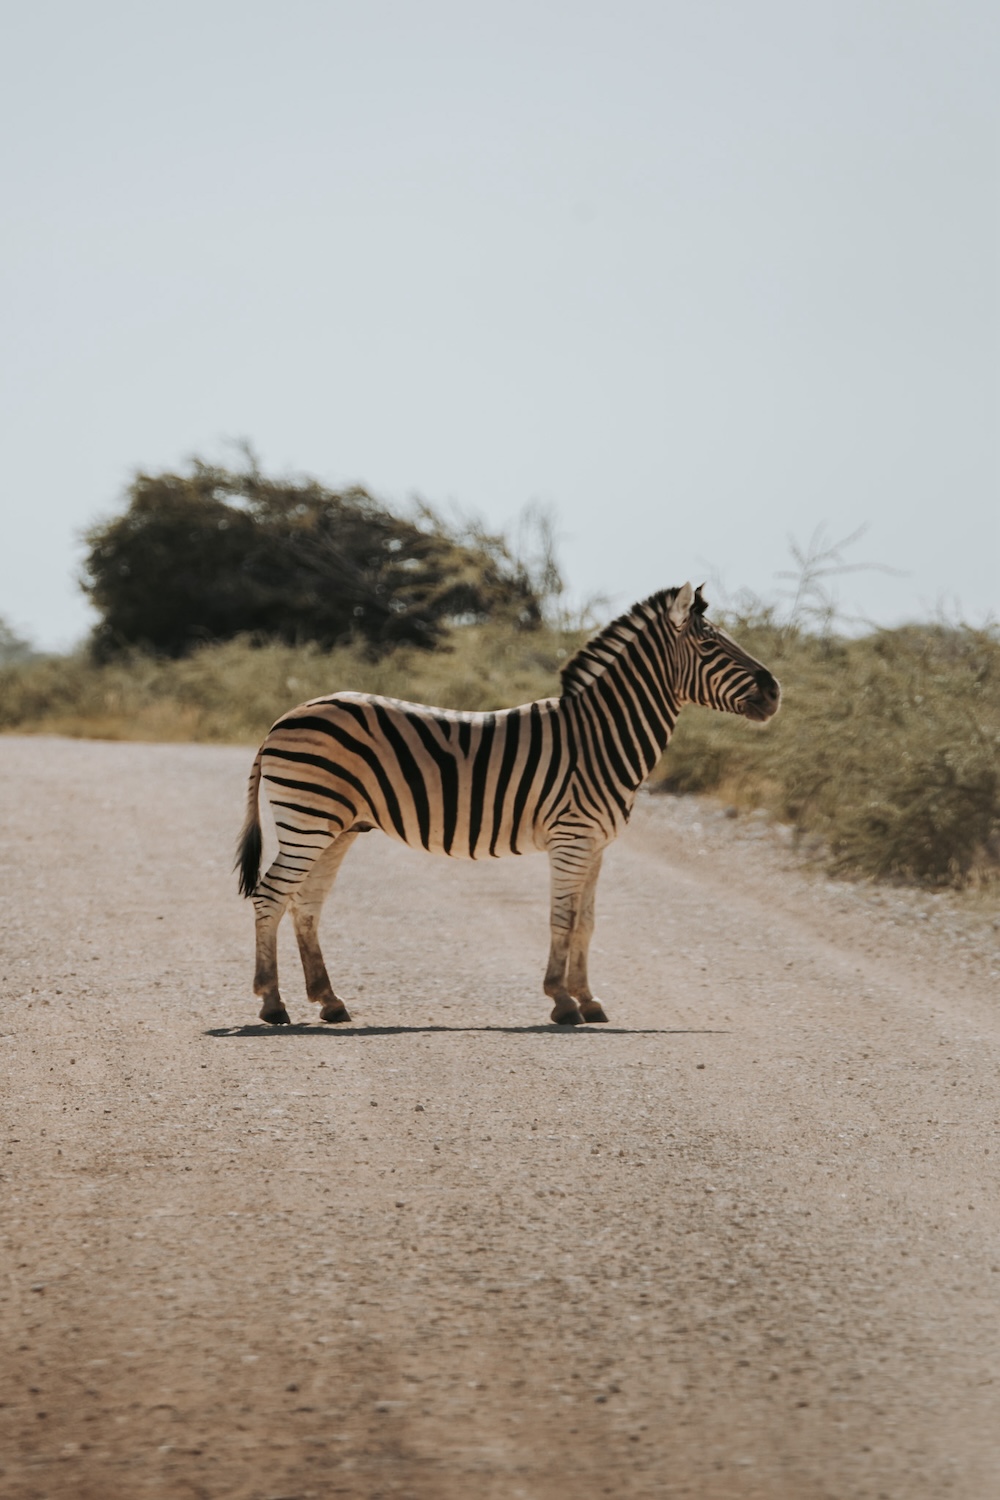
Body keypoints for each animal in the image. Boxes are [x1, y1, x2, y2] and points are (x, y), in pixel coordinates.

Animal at [236, 579, 779, 1026]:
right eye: (709, 643)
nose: (775, 691)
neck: (600, 737)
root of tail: (286, 715)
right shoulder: (572, 837)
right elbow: (562, 919)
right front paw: (562, 1001)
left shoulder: (598, 845)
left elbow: (586, 922)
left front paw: (589, 999)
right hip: (309, 819)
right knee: (270, 896)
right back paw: (273, 1004)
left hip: (336, 826)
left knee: (306, 903)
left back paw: (328, 1001)